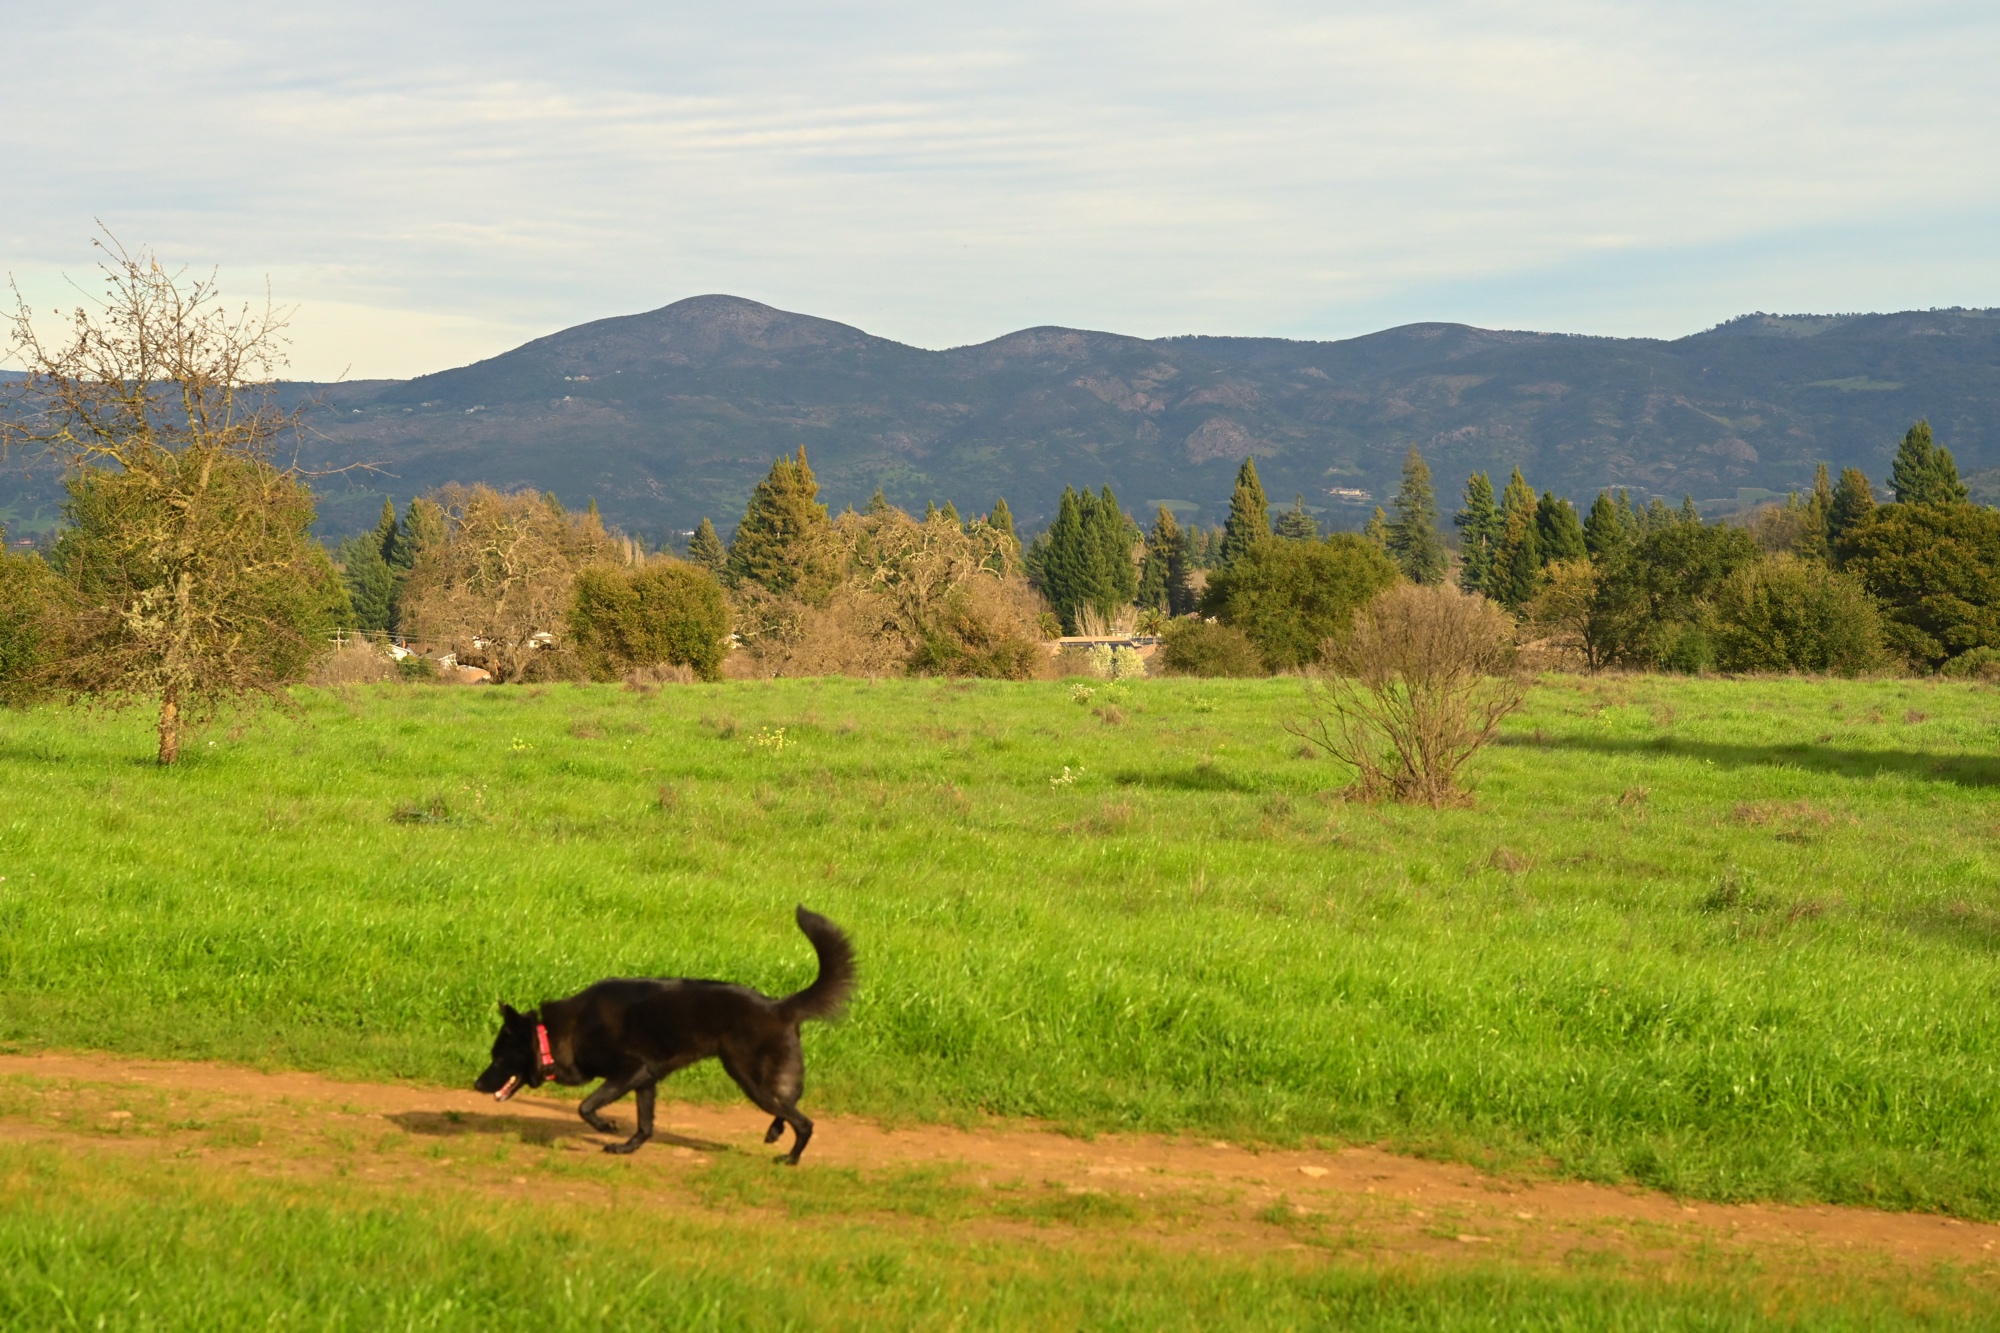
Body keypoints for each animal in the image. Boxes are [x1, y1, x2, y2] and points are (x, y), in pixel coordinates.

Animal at [475, 905, 853, 1163]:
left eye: (498, 1058)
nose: (476, 1085)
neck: (550, 1036)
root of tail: (779, 1006)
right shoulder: (646, 1080)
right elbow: (645, 1124)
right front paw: (626, 1147)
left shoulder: (630, 1071)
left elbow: (586, 1106)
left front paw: (607, 1127)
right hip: (759, 1078)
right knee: (789, 1104)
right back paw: (775, 1132)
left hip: (749, 1078)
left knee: (803, 1121)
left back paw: (790, 1158)